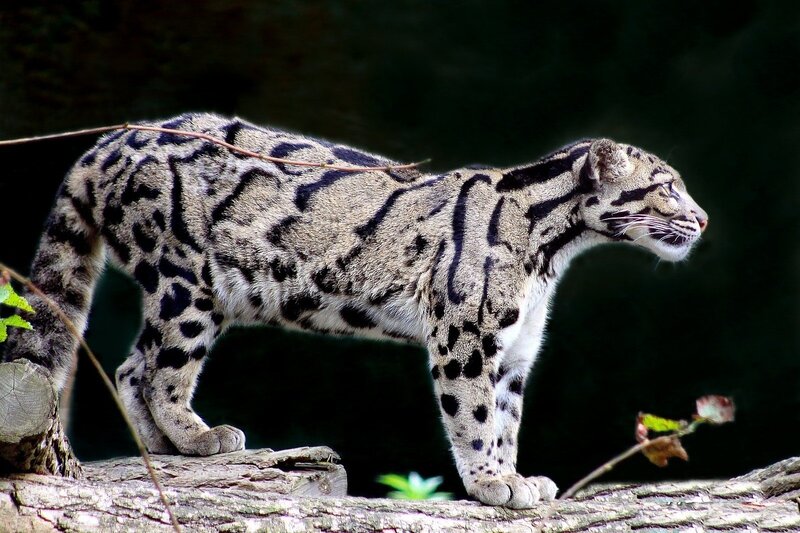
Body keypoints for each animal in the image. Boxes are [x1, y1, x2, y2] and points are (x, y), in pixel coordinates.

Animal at [3, 113, 707, 508]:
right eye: (667, 187)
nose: (702, 219)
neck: (551, 249)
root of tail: (109, 140)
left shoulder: (514, 352)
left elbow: (506, 420)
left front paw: (513, 475)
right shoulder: (465, 336)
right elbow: (475, 417)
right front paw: (491, 482)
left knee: (132, 367)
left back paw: (164, 445)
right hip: (186, 283)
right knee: (161, 372)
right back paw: (199, 436)